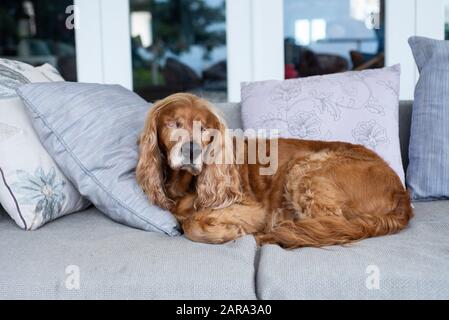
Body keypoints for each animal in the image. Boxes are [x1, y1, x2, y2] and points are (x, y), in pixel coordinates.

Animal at [137, 92, 412, 248]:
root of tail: (402, 194)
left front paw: (225, 232)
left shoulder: (253, 210)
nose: (191, 150)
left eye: (204, 129)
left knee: (331, 226)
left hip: (306, 168)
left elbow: (191, 224)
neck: (185, 183)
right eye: (174, 124)